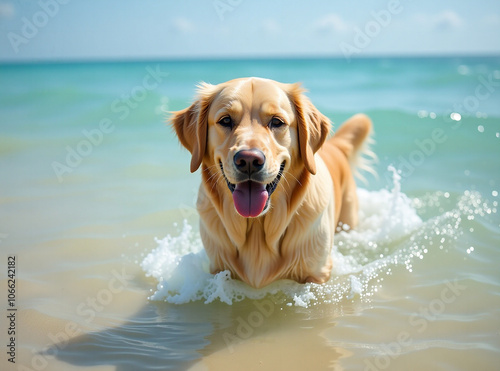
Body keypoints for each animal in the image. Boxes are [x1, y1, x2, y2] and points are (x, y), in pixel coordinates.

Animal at [171, 77, 372, 290]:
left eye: (277, 121)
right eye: (225, 120)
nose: (249, 160)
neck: (258, 227)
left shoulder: (317, 273)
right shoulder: (218, 269)